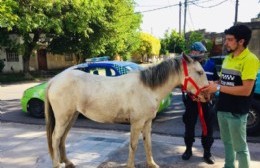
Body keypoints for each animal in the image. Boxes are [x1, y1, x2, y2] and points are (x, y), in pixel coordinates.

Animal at [44, 53, 207, 168]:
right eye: (199, 72)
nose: (208, 95)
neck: (148, 88)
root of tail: (53, 80)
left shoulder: (147, 122)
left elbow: (148, 143)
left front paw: (152, 164)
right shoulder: (137, 123)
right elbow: (133, 145)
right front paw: (130, 166)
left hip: (71, 117)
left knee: (62, 138)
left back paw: (68, 162)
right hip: (63, 118)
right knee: (55, 138)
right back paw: (57, 164)